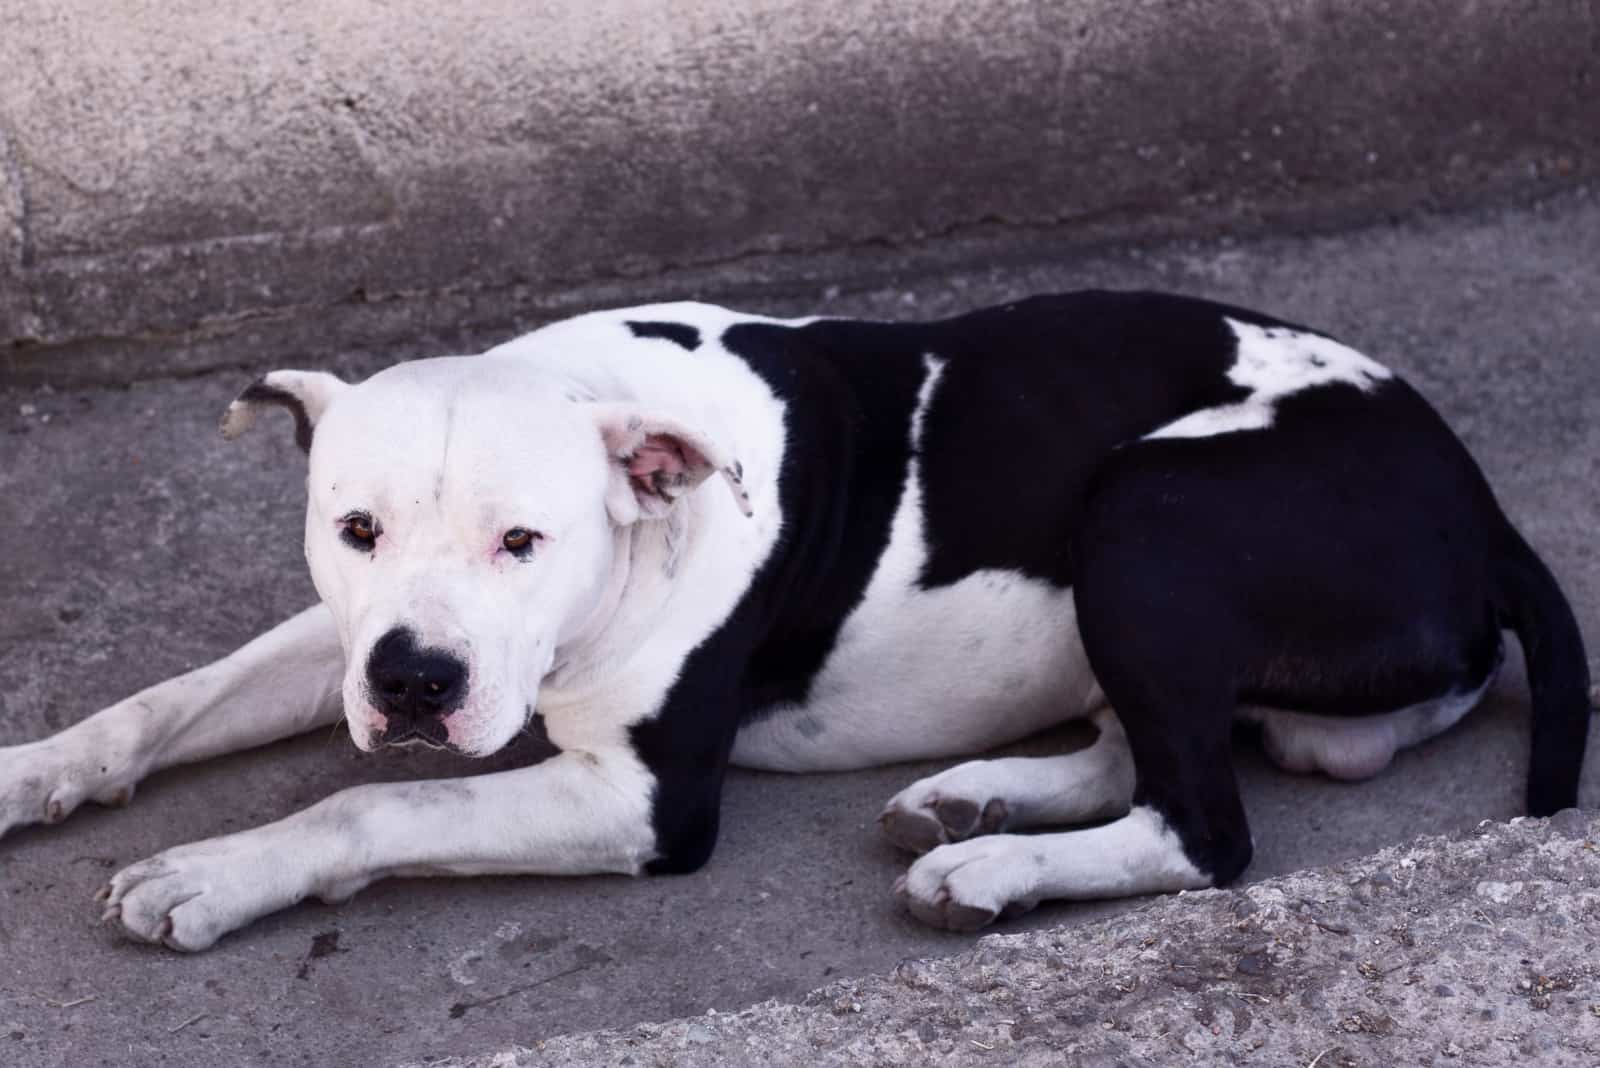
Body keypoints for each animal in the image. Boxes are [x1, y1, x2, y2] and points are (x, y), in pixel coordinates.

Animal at [0, 294, 1587, 952]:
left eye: (526, 542)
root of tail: (1480, 500)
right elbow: (175, 696)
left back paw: (993, 867)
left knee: (1204, 823)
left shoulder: (641, 802)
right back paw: (974, 799)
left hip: (1148, 509)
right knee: (1148, 747)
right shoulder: (343, 634)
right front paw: (37, 770)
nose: (417, 684)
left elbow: (367, 809)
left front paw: (212, 874)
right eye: (355, 530)